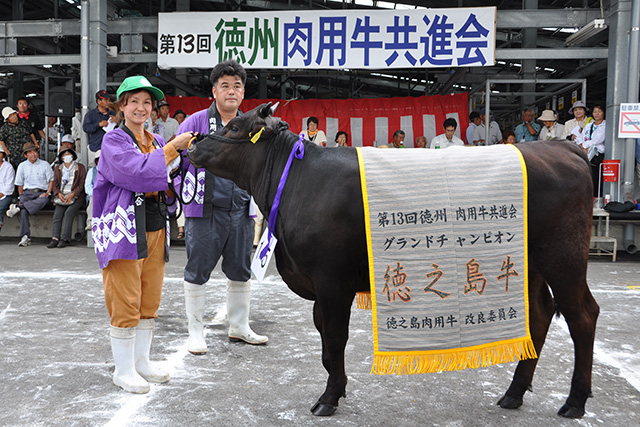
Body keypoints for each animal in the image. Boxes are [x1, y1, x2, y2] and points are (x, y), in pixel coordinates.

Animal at [186, 103, 600, 418]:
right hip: (529, 264)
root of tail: (563, 149)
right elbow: (324, 340)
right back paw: (514, 393)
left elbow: (334, 336)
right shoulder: (320, 283)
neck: (297, 180)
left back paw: (574, 402)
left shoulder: (331, 279)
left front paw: (329, 398)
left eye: (233, 126)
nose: (192, 144)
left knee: (582, 315)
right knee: (541, 314)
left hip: (564, 258)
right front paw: (337, 387)